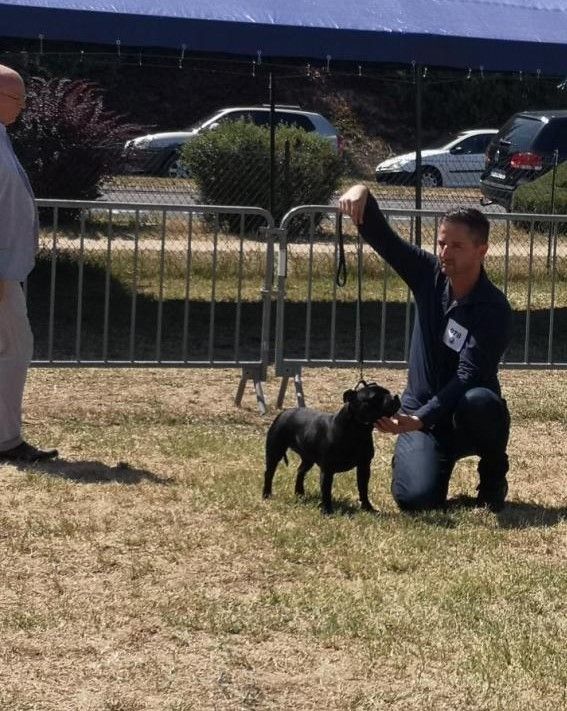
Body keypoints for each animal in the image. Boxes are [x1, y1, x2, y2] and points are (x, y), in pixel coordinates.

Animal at [262, 381, 400, 514]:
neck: (358, 431)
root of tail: (284, 412)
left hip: (308, 459)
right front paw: (327, 510)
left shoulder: (364, 466)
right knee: (269, 472)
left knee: (300, 471)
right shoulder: (327, 469)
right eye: (375, 398)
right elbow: (326, 491)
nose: (395, 397)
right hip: (275, 451)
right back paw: (266, 495)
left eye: (388, 392)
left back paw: (299, 493)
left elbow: (363, 489)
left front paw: (368, 508)